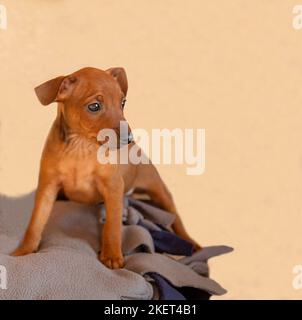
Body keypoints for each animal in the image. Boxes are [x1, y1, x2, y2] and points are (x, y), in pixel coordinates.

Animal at [11, 68, 202, 270]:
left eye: (122, 103)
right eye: (94, 106)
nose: (129, 139)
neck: (80, 148)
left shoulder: (113, 187)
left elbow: (112, 225)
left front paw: (112, 256)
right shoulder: (47, 187)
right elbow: (35, 222)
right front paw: (24, 250)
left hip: (159, 190)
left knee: (176, 218)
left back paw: (193, 244)